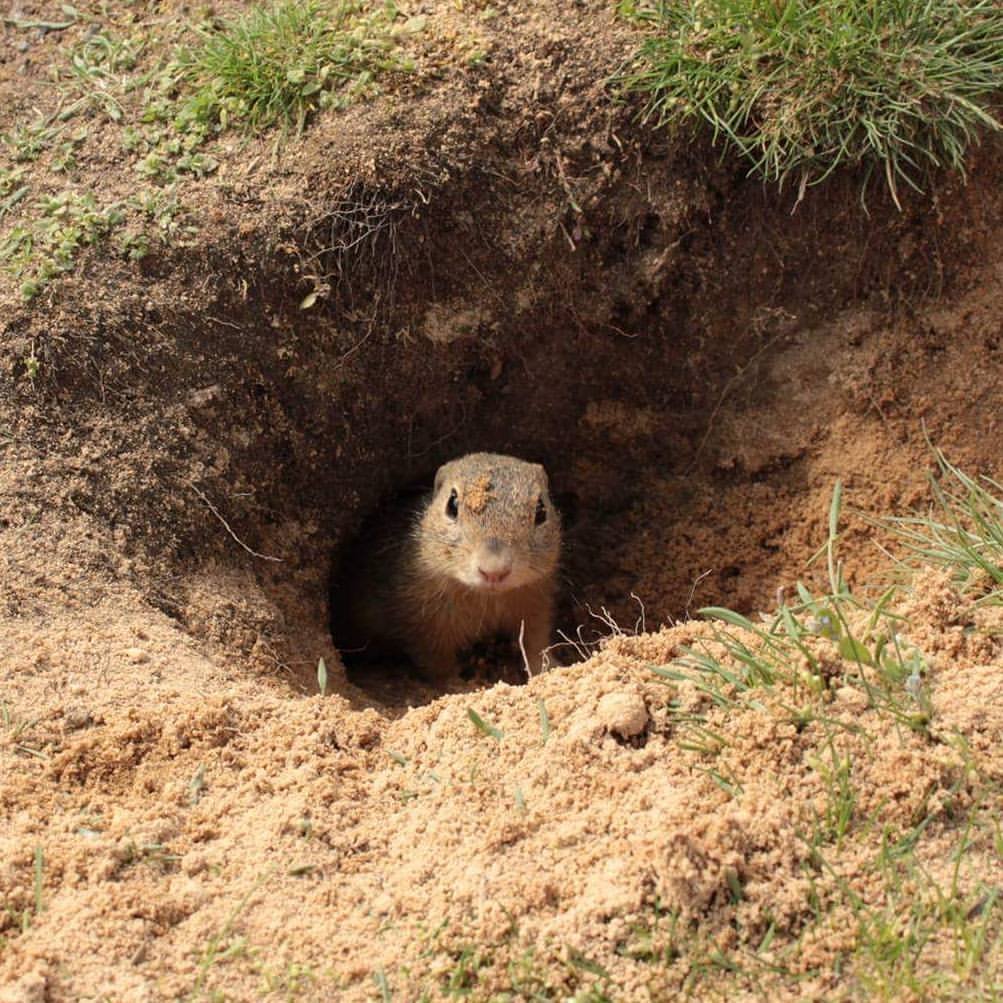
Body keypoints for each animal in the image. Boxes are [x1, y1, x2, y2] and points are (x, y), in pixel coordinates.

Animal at [341, 453, 561, 682]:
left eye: (541, 510)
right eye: (452, 505)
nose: (494, 571)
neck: (486, 597)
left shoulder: (535, 603)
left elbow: (535, 641)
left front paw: (549, 668)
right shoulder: (425, 622)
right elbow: (439, 664)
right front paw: (459, 684)